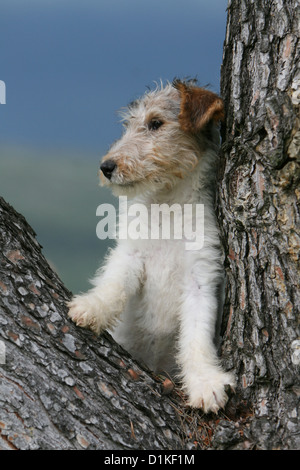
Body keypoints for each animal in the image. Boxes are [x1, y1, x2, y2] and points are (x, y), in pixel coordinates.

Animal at [67, 80, 236, 412]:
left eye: (156, 123)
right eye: (129, 125)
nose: (106, 166)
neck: (168, 204)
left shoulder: (202, 275)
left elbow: (197, 336)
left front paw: (205, 383)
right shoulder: (132, 254)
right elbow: (113, 284)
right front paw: (91, 308)